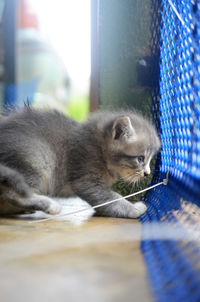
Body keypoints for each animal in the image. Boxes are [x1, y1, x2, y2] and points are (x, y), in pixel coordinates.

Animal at [0, 107, 160, 218]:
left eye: (150, 159)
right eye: (140, 158)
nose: (147, 173)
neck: (100, 149)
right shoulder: (85, 178)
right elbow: (111, 198)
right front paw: (134, 209)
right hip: (37, 158)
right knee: (11, 192)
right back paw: (49, 205)